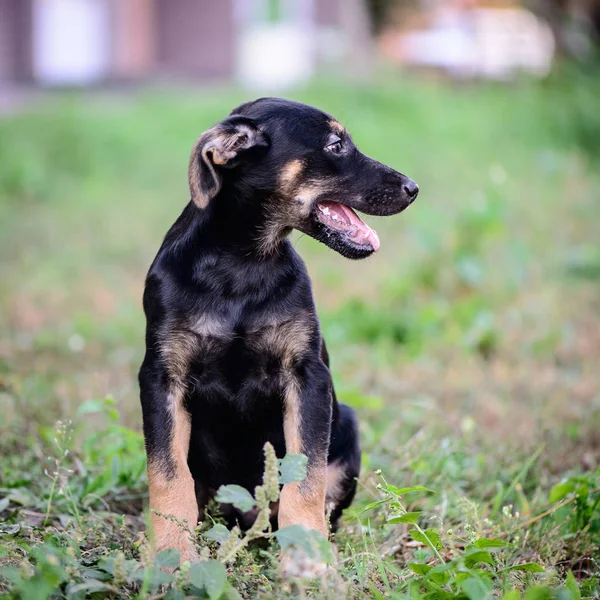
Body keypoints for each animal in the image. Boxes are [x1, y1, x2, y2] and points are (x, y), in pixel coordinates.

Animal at [138, 98, 420, 564]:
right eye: (336, 145)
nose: (413, 188)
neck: (243, 264)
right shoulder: (162, 377)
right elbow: (167, 473)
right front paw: (171, 554)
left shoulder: (307, 376)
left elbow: (306, 479)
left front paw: (310, 559)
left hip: (346, 424)